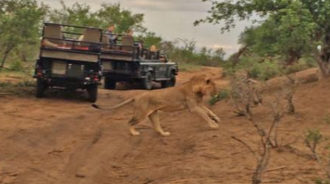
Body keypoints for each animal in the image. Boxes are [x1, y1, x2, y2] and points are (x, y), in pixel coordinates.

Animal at [92, 75, 222, 137]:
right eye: (214, 86)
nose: (217, 92)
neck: (197, 89)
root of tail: (137, 96)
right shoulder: (193, 107)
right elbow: (205, 115)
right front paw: (213, 125)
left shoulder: (198, 104)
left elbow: (208, 111)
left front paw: (216, 118)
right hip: (141, 114)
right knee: (129, 122)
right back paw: (134, 133)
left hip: (153, 113)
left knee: (156, 126)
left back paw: (164, 134)